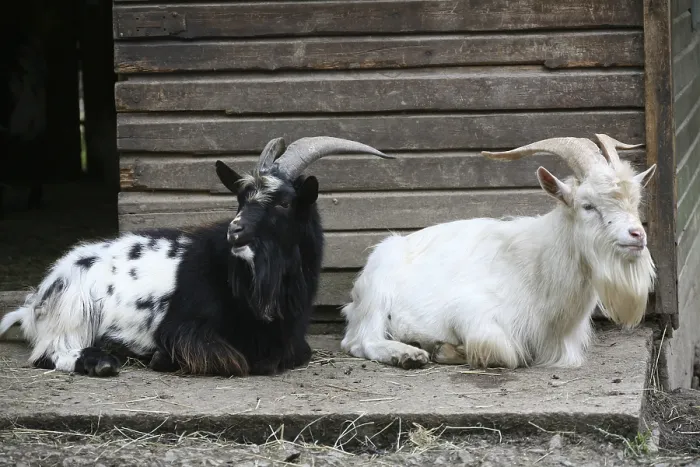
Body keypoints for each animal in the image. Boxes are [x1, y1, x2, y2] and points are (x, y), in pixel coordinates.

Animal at [0, 136, 392, 377]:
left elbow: (294, 354)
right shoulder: (185, 329)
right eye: (241, 199)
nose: (235, 230)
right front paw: (158, 357)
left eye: (283, 202)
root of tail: (37, 298)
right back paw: (102, 362)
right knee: (51, 353)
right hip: (74, 311)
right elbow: (237, 359)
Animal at [340, 134, 657, 370]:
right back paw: (407, 354)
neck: (536, 268)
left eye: (636, 201)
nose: (637, 235)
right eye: (588, 205)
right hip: (377, 291)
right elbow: (505, 353)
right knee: (360, 341)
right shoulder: (473, 313)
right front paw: (445, 349)